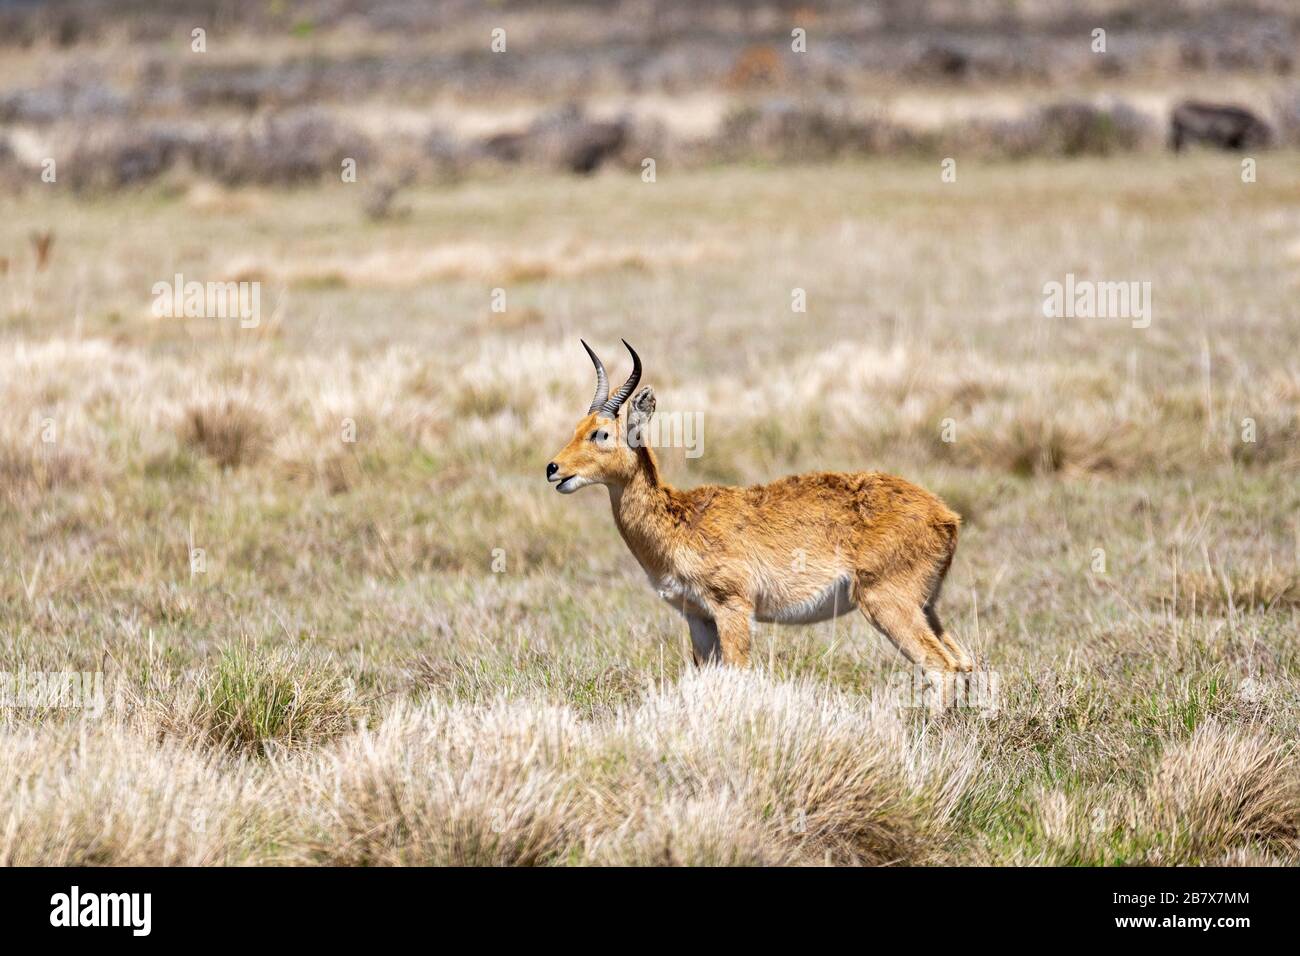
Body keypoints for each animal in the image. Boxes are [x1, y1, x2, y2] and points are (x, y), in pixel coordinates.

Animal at [547, 340, 975, 705]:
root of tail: (946, 515)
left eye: (601, 433)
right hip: (926, 607)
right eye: (576, 428)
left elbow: (738, 674)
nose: (554, 469)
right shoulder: (698, 617)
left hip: (887, 605)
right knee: (964, 661)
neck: (681, 521)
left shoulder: (733, 608)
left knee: (942, 666)